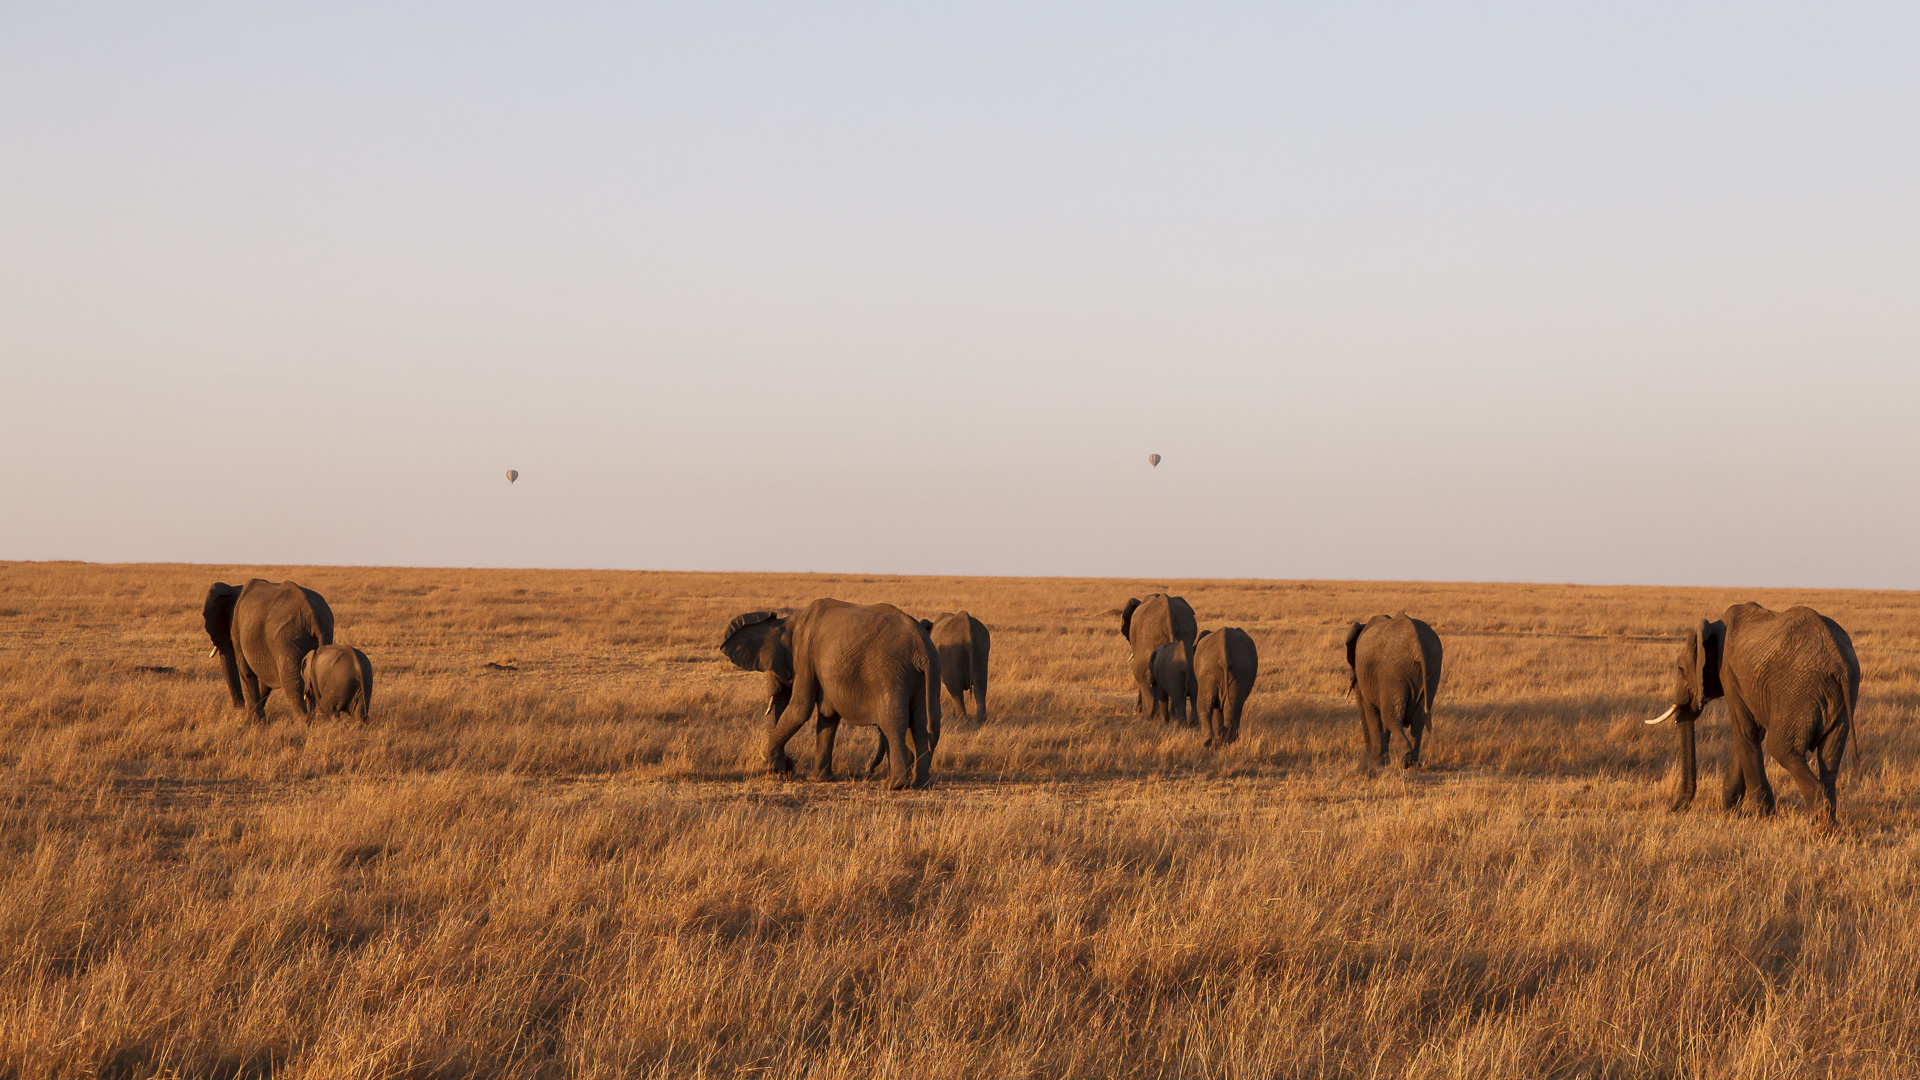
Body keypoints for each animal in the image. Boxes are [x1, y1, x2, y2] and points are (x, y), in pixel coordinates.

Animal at [206, 576, 337, 718]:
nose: (239, 707)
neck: (234, 589)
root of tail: (313, 617)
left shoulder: (236, 628)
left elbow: (245, 670)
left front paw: (252, 720)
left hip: (288, 635)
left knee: (291, 680)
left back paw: (303, 720)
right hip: (324, 631)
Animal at [721, 595, 936, 780]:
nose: (789, 766)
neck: (789, 622)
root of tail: (921, 646)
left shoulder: (805, 654)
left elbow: (800, 710)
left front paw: (772, 768)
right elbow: (827, 716)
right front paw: (818, 779)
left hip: (891, 669)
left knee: (894, 721)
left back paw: (896, 784)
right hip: (922, 675)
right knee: (920, 724)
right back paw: (919, 782)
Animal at [1351, 614, 1443, 764]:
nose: (1366, 754)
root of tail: (1416, 644)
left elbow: (1373, 712)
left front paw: (1378, 763)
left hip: (1392, 672)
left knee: (1391, 716)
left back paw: (1407, 761)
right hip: (1432, 669)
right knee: (1418, 719)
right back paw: (1414, 763)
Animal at [1643, 595, 1850, 822]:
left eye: (1680, 669)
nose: (1672, 809)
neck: (1714, 627)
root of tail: (1838, 662)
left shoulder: (1729, 673)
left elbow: (1745, 731)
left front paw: (1762, 814)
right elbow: (1752, 733)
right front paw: (1730, 808)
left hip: (1799, 689)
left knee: (1782, 748)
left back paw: (1821, 817)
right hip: (1836, 698)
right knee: (1830, 753)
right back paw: (1831, 821)